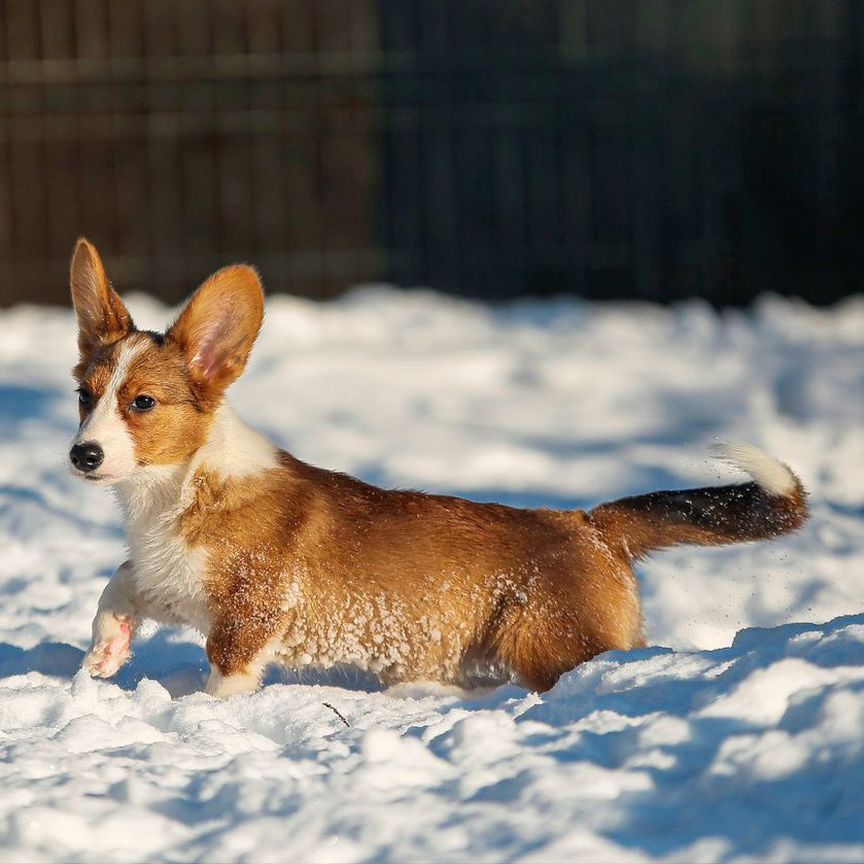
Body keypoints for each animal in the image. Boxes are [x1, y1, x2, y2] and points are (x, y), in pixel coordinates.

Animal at [69, 240, 808, 700]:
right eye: (84, 395)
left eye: (142, 403)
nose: (83, 456)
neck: (176, 490)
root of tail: (591, 525)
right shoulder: (165, 577)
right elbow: (117, 588)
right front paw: (103, 658)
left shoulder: (250, 617)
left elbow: (224, 678)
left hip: (547, 642)